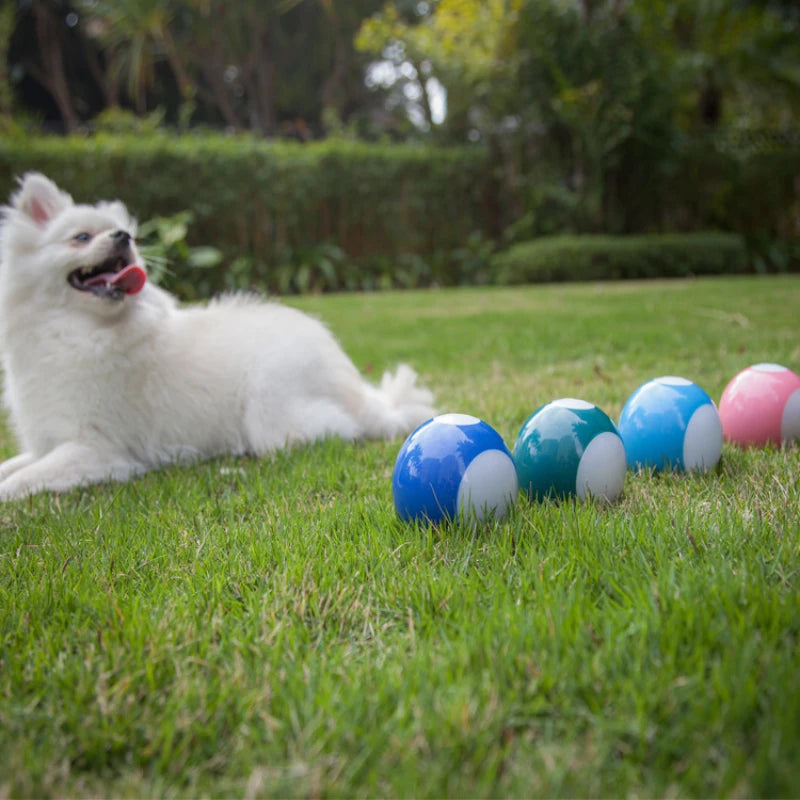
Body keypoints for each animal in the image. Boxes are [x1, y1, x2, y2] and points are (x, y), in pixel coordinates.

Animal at [0, 175, 434, 500]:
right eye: (81, 237)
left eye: (127, 237)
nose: (125, 236)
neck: (74, 329)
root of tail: (351, 380)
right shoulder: (45, 444)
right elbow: (12, 466)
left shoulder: (96, 449)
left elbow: (18, 481)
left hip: (272, 414)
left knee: (343, 430)